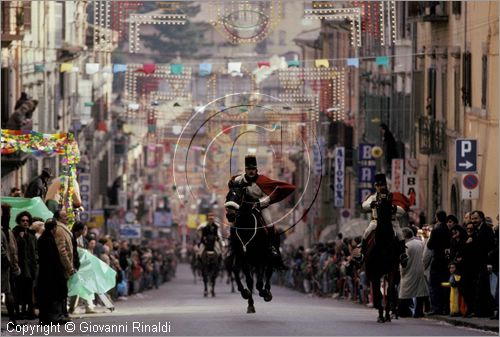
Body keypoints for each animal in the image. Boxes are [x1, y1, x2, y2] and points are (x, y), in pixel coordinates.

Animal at [226, 184, 274, 312]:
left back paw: (267, 292)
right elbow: (240, 274)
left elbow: (259, 282)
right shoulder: (242, 257)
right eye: (227, 196)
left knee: (269, 271)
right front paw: (246, 294)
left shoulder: (261, 258)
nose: (230, 215)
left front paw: (264, 293)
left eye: (238, 196)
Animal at [362, 190, 400, 322]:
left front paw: (387, 315)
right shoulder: (374, 270)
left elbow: (389, 291)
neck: (383, 242)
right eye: (377, 205)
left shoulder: (392, 268)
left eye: (390, 204)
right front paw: (380, 314)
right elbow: (378, 292)